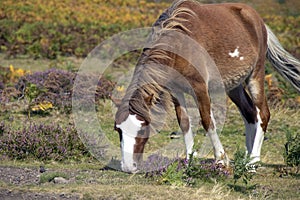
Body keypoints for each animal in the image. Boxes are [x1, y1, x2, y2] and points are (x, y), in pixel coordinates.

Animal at [113, 0, 300, 173]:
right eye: (118, 130)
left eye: (142, 128)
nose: (128, 167)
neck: (179, 43)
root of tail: (258, 20)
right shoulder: (176, 91)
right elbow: (184, 122)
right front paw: (189, 160)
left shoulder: (200, 88)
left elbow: (207, 121)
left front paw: (221, 159)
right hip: (234, 86)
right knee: (250, 113)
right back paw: (246, 158)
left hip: (255, 75)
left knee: (263, 114)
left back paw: (252, 162)